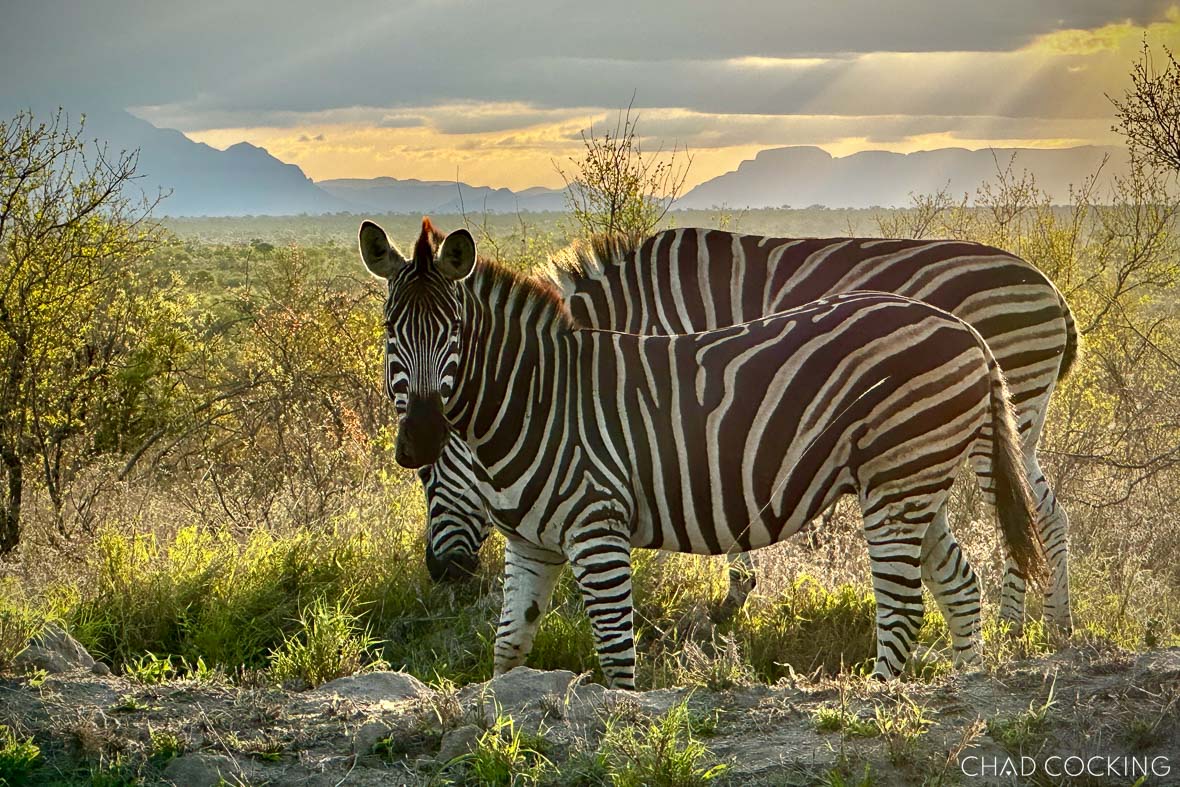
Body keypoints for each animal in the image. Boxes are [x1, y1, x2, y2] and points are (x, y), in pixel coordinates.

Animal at [362, 217, 1047, 689]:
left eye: (452, 332)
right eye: (390, 331)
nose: (444, 572)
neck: (540, 399)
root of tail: (966, 332)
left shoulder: (598, 528)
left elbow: (617, 660)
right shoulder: (531, 545)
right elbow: (508, 652)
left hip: (902, 478)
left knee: (905, 608)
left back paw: (879, 705)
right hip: (915, 479)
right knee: (959, 584)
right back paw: (966, 694)